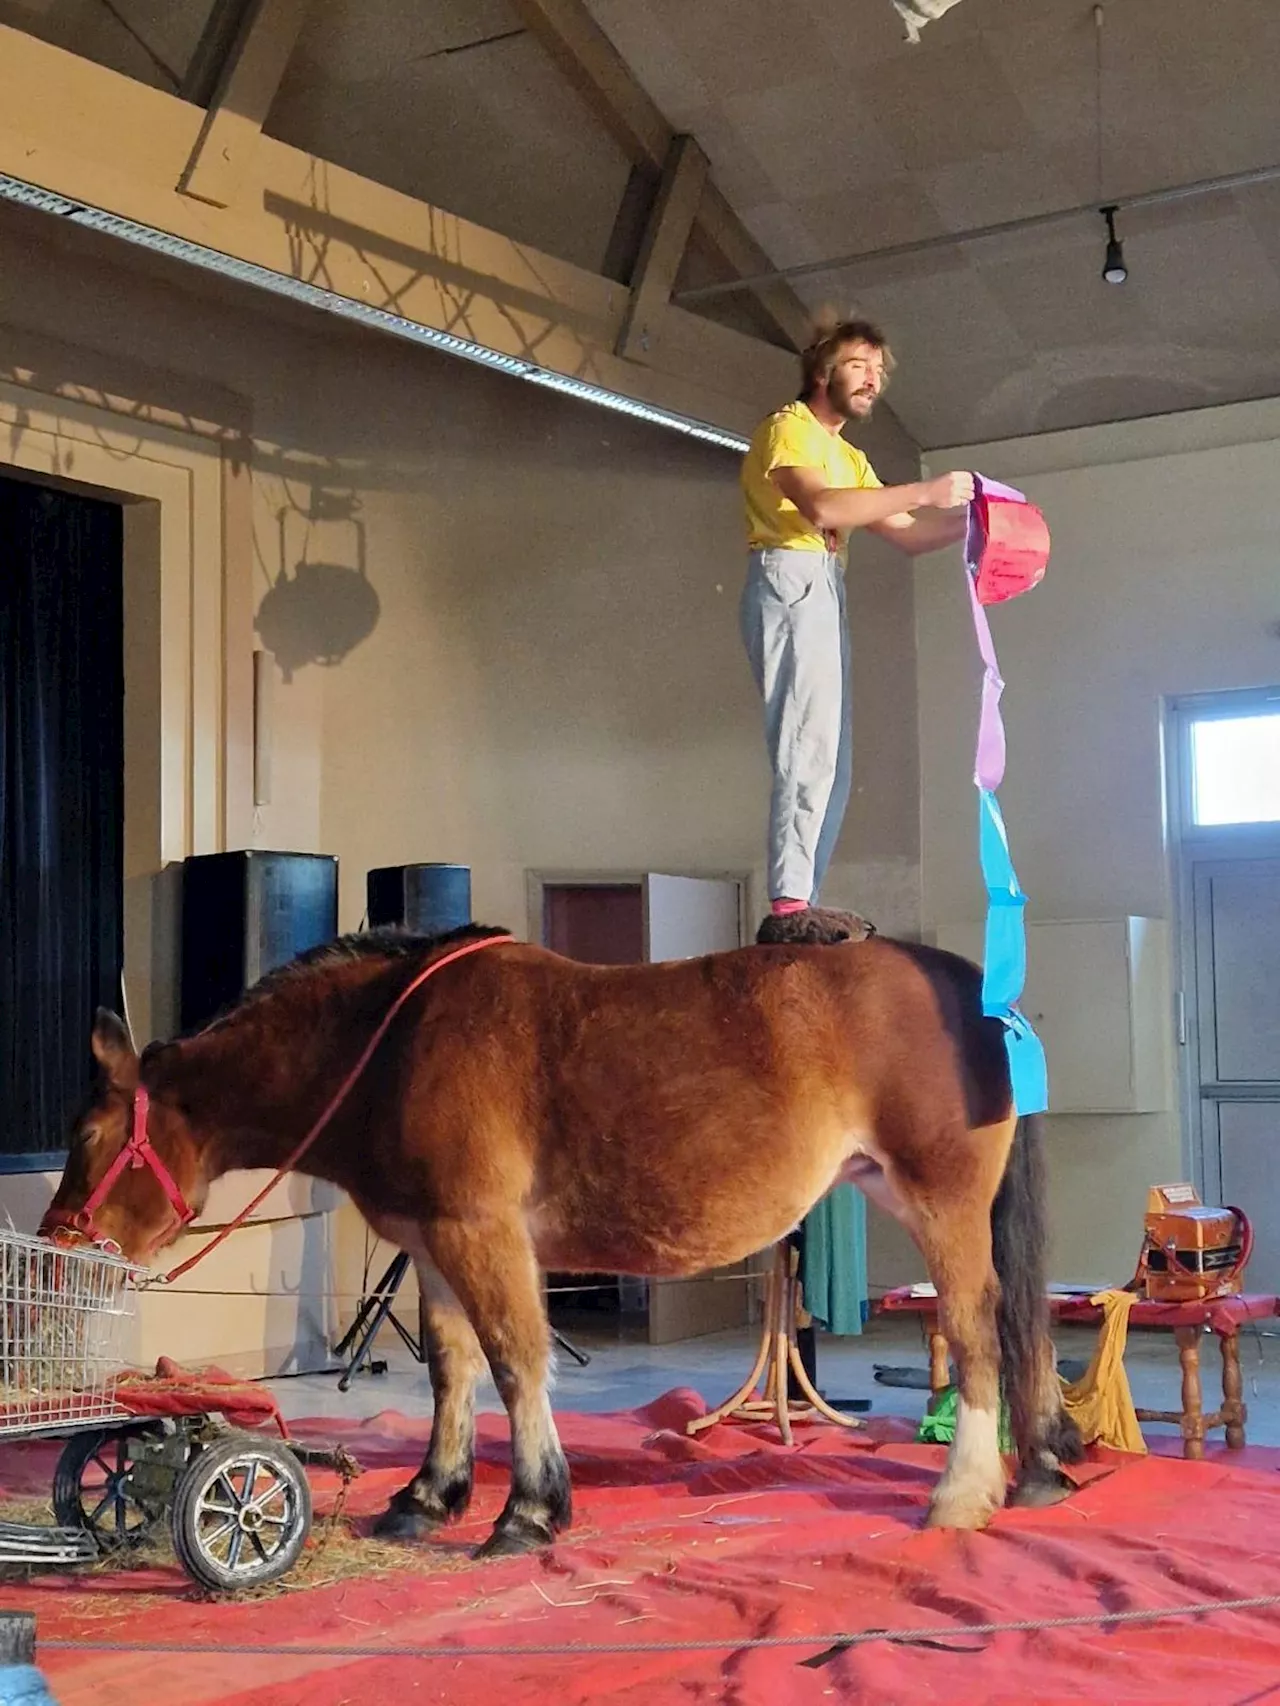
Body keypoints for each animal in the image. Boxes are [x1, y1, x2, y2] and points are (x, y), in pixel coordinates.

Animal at [40, 928, 1085, 1555]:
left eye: (87, 1135)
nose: (54, 1246)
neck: (394, 1044)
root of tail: (975, 986)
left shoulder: (482, 1233)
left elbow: (515, 1363)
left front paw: (530, 1509)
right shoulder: (432, 1245)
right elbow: (453, 1371)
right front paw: (430, 1495)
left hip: (941, 1205)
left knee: (980, 1332)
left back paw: (962, 1494)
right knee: (1017, 1333)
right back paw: (1035, 1471)